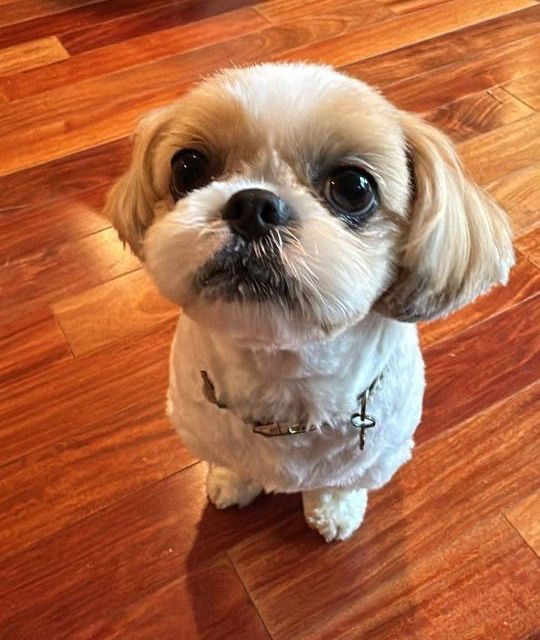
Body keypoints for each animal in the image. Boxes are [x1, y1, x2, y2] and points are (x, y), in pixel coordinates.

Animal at [103, 62, 512, 544]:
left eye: (354, 187)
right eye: (188, 167)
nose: (253, 205)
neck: (280, 378)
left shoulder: (373, 457)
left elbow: (337, 484)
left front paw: (333, 511)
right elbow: (231, 462)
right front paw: (232, 480)